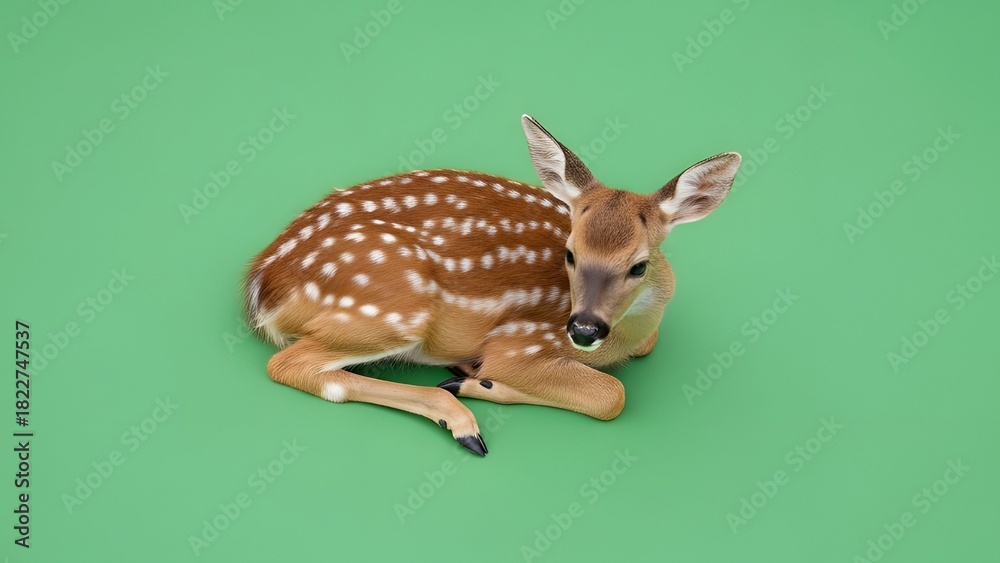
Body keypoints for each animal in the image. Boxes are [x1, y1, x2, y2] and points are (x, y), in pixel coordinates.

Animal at [243, 115, 741, 456]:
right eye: (570, 253)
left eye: (639, 266)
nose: (582, 330)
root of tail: (262, 284)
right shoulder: (521, 342)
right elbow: (611, 395)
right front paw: (480, 379)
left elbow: (644, 350)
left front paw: (472, 377)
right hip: (396, 307)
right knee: (291, 365)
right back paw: (461, 415)